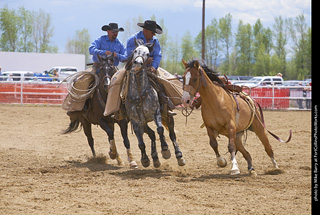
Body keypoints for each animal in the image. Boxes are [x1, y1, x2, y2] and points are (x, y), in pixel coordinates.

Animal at [124, 39, 186, 168]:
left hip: (167, 116)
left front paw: (165, 150)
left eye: (148, 54)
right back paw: (155, 158)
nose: (137, 63)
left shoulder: (156, 113)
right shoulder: (136, 121)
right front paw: (145, 160)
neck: (139, 93)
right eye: (135, 51)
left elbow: (160, 130)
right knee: (151, 134)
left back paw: (179, 156)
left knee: (171, 134)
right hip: (144, 122)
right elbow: (141, 143)